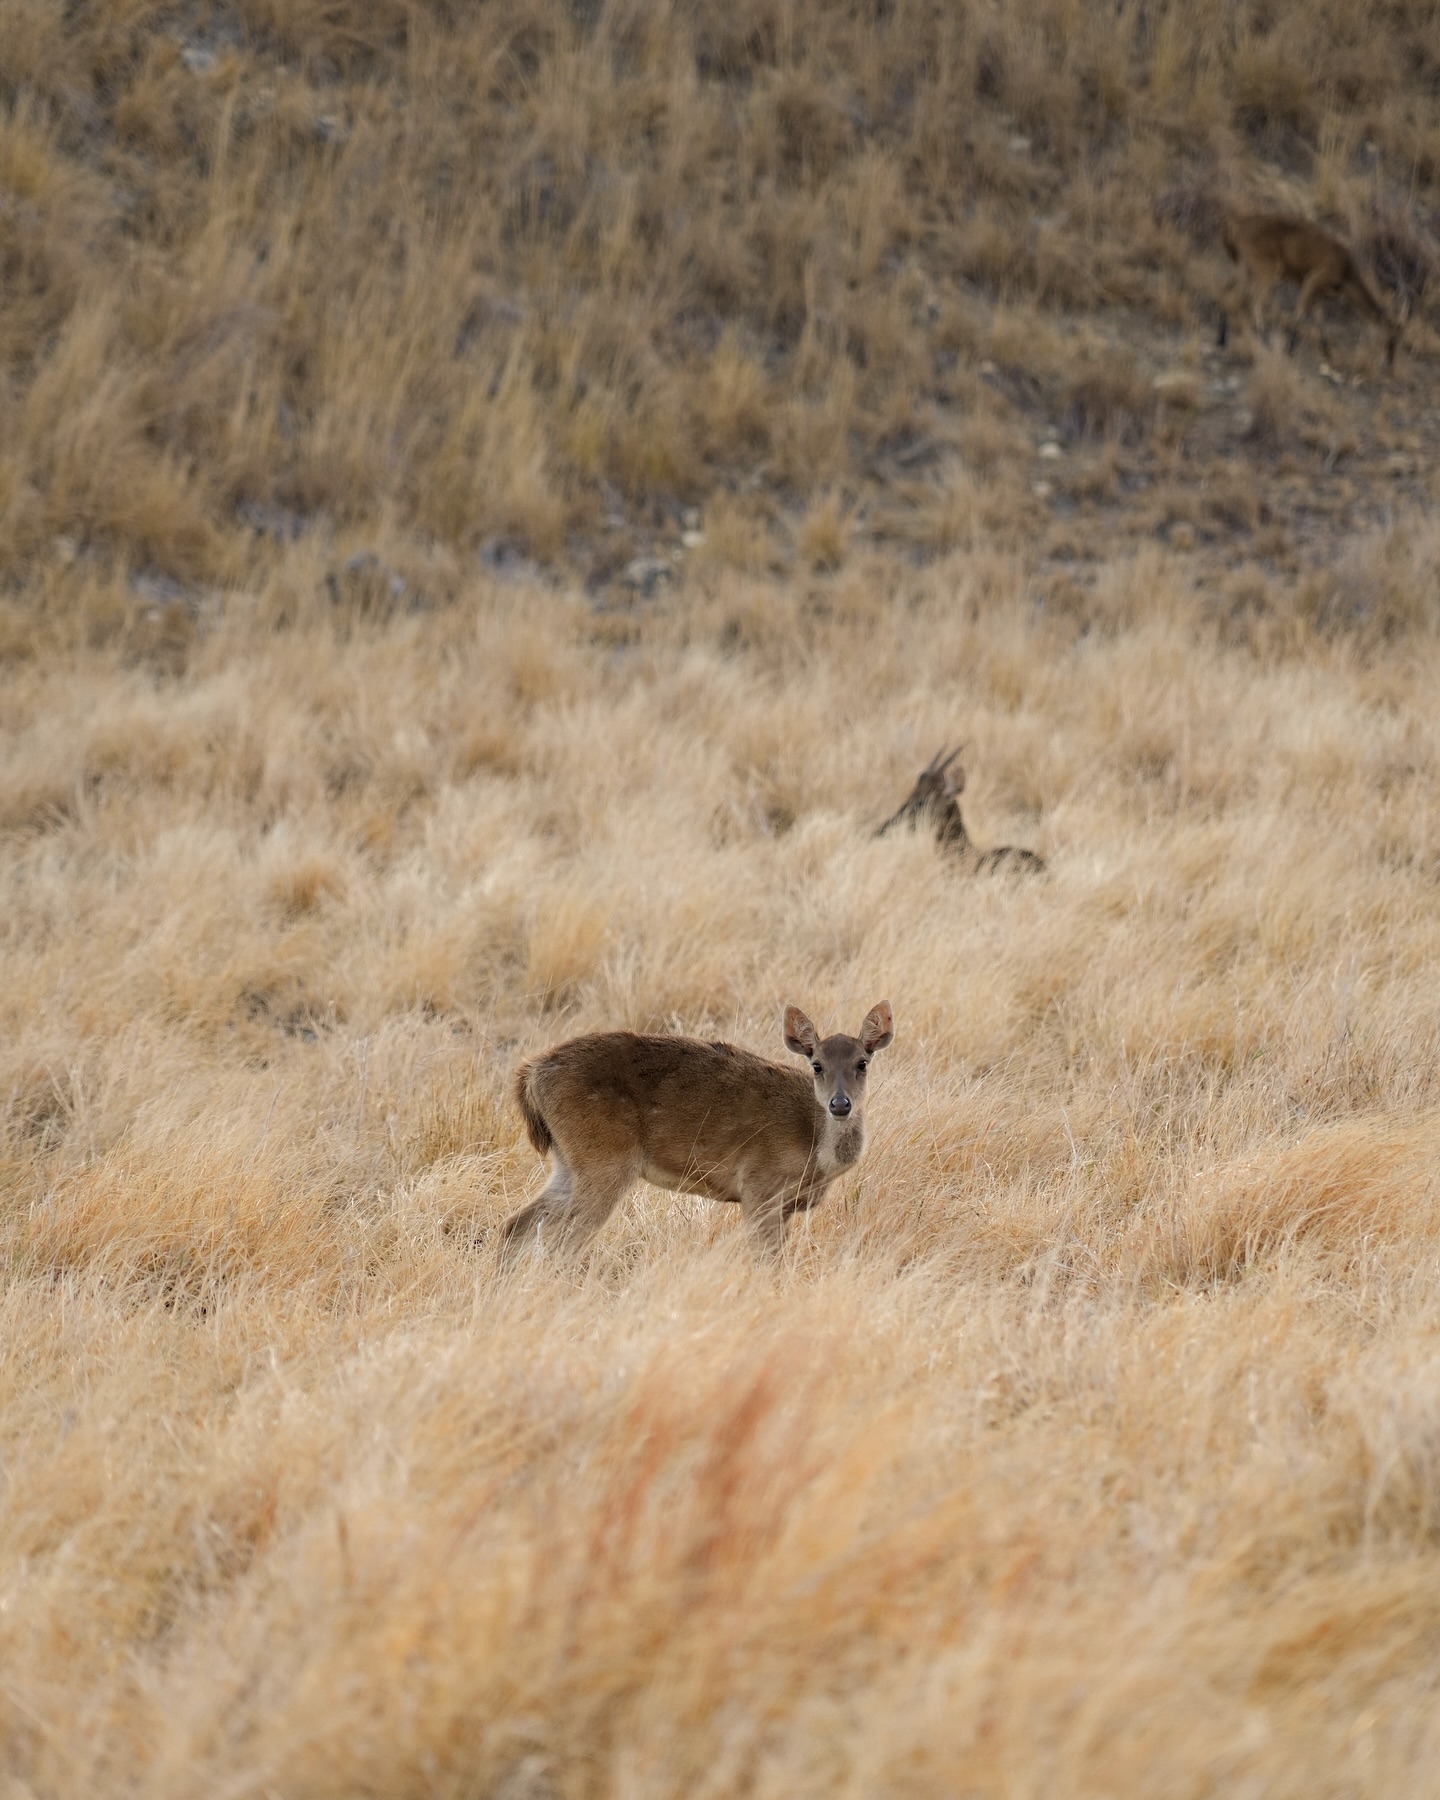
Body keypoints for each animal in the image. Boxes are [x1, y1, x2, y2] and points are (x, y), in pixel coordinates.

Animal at [500, 1000, 892, 1267]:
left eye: (862, 1062)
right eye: (817, 1065)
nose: (840, 1104)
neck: (814, 1151)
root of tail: (531, 1075)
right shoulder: (760, 1187)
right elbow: (767, 1262)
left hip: (571, 1163)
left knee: (517, 1226)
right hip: (605, 1160)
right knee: (562, 1244)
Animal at [1216, 210, 1404, 365]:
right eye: (1391, 338)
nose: (1389, 362)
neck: (1346, 275)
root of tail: (1235, 225)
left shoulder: (1318, 292)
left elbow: (1319, 317)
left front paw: (1327, 352)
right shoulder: (1313, 279)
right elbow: (1301, 311)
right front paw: (1290, 349)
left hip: (1244, 266)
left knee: (1227, 291)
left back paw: (1222, 338)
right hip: (1266, 268)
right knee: (1255, 302)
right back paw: (1262, 341)